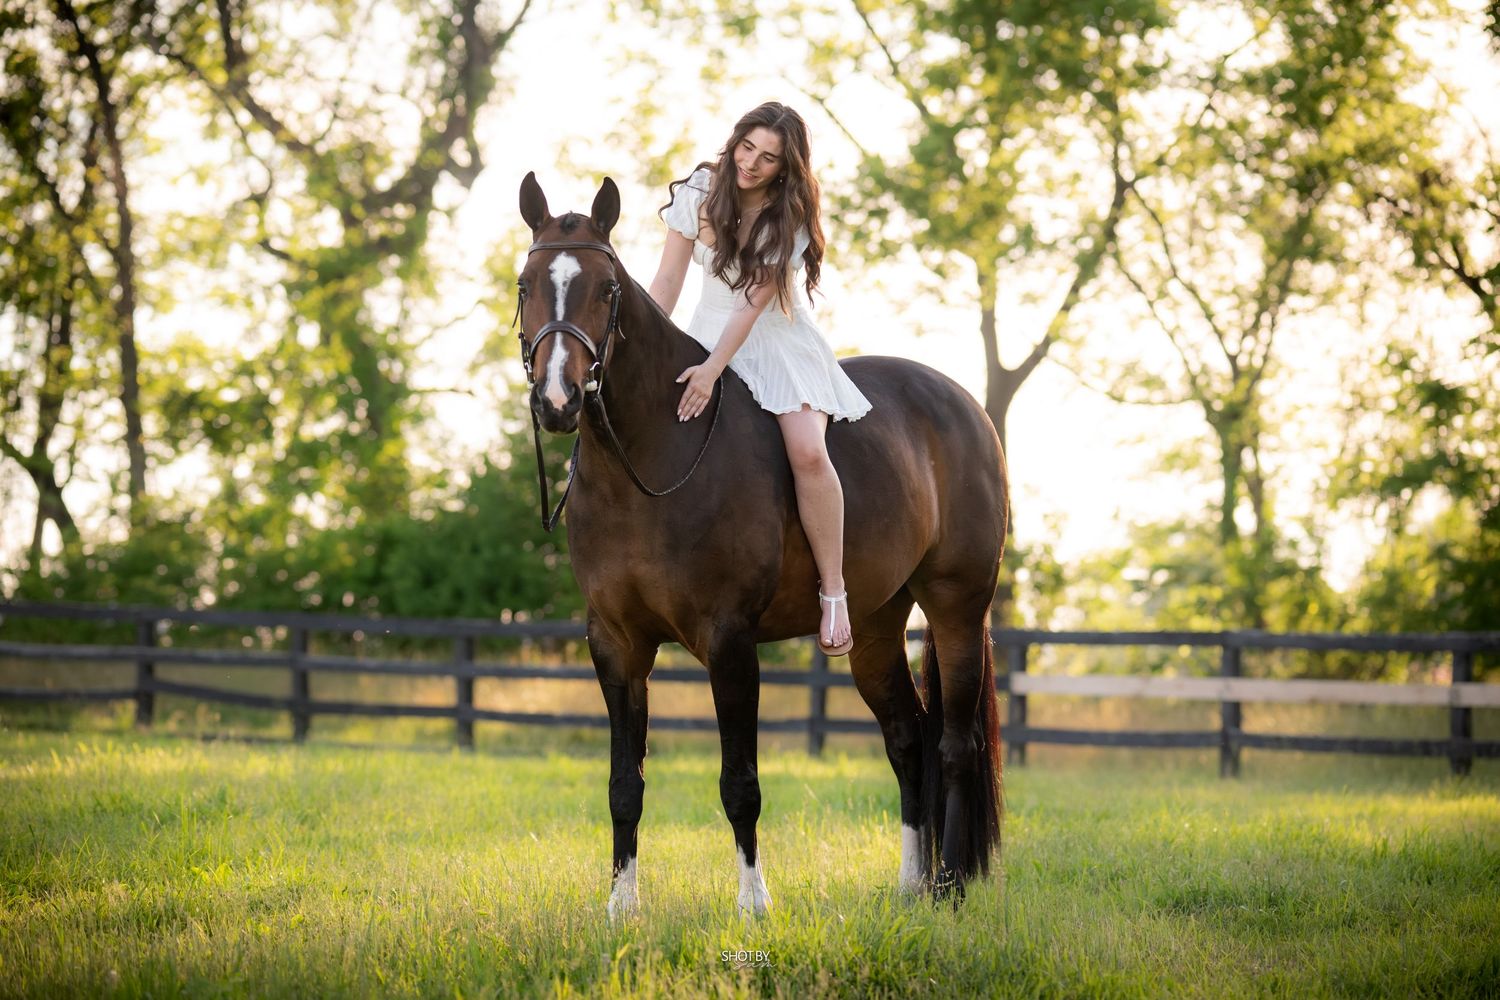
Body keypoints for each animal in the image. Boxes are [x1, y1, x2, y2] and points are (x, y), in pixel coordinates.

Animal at [516, 172, 1008, 918]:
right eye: (525, 284)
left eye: (606, 289)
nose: (557, 399)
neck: (655, 460)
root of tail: (965, 407)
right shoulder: (616, 643)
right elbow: (624, 784)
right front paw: (621, 908)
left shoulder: (730, 641)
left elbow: (739, 783)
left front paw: (753, 904)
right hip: (874, 629)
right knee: (908, 740)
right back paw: (910, 885)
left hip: (956, 607)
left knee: (953, 743)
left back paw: (948, 886)